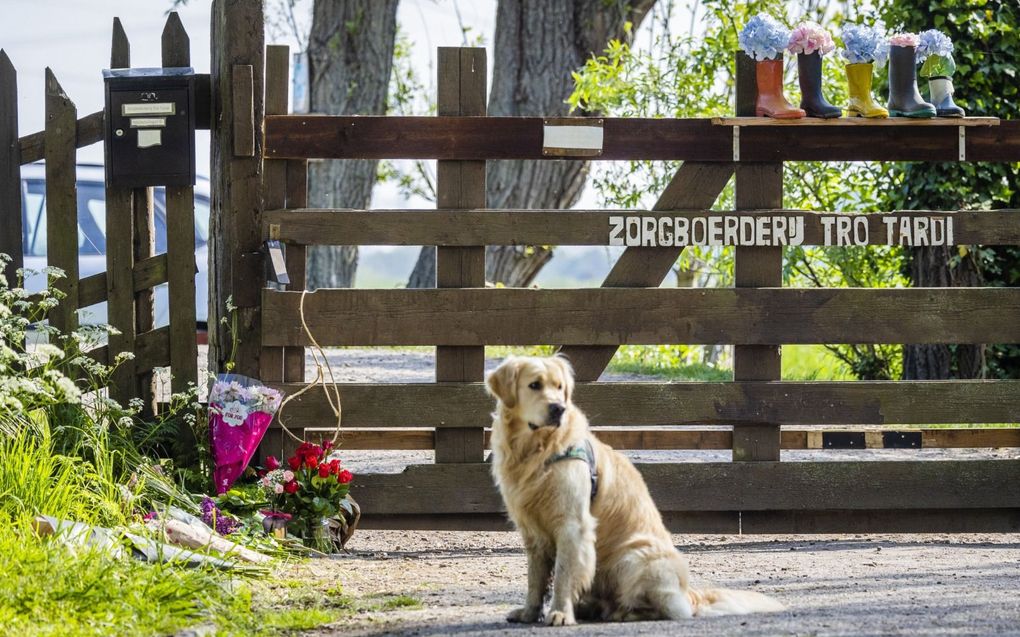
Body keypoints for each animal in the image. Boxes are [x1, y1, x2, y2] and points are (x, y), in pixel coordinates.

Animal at [489, 354, 783, 623]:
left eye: (560, 387)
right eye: (535, 385)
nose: (558, 409)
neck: (536, 449)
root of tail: (688, 593)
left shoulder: (572, 525)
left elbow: (563, 575)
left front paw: (560, 613)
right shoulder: (532, 531)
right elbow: (535, 580)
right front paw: (529, 613)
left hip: (633, 558)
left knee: (665, 609)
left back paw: (621, 613)